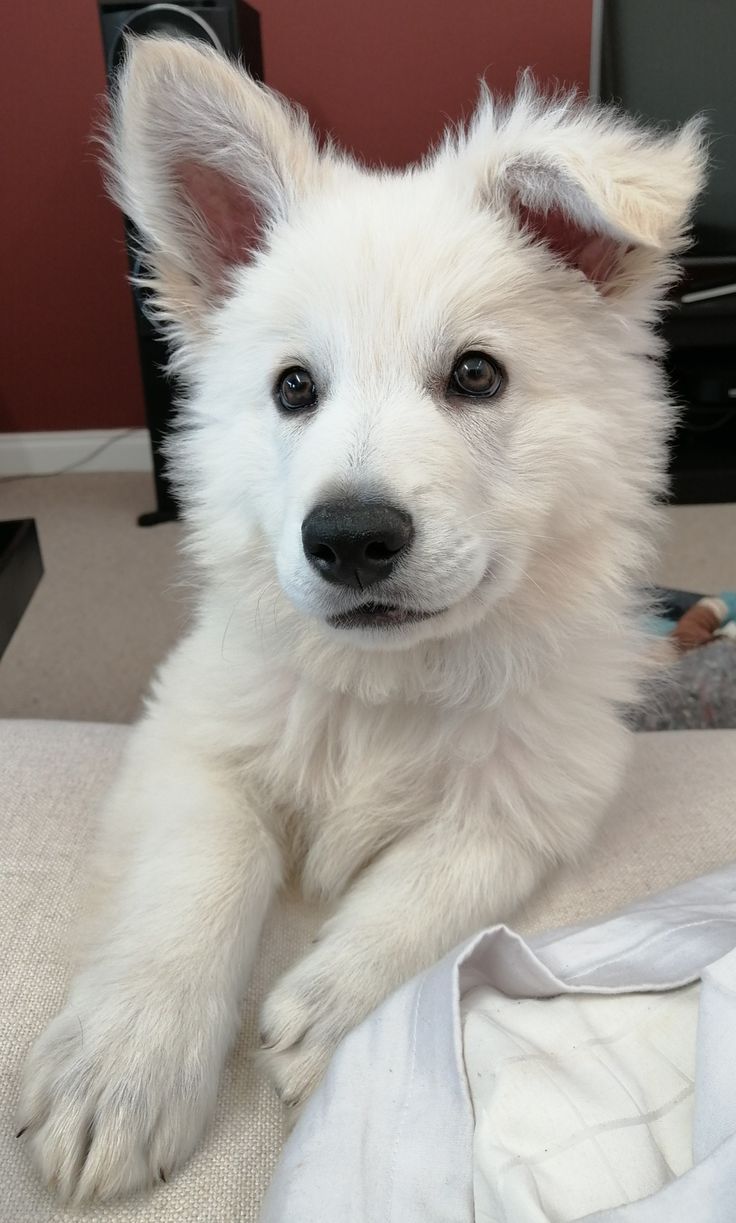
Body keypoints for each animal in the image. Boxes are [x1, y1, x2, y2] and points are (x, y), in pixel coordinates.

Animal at [17, 35, 704, 1203]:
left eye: (476, 373)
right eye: (293, 388)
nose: (348, 538)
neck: (392, 682)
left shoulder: (540, 797)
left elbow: (431, 887)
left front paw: (331, 1008)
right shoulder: (187, 736)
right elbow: (201, 872)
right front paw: (124, 1061)